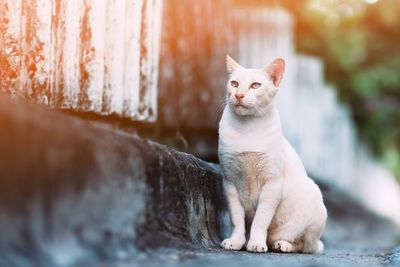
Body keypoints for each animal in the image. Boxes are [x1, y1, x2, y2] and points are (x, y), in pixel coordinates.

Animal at [219, 55, 328, 254]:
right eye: (234, 83)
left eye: (255, 85)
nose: (239, 95)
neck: (247, 129)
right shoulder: (229, 181)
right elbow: (237, 219)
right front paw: (236, 242)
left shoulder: (272, 183)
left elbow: (260, 220)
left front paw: (256, 243)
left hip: (314, 201)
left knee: (304, 245)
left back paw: (281, 245)